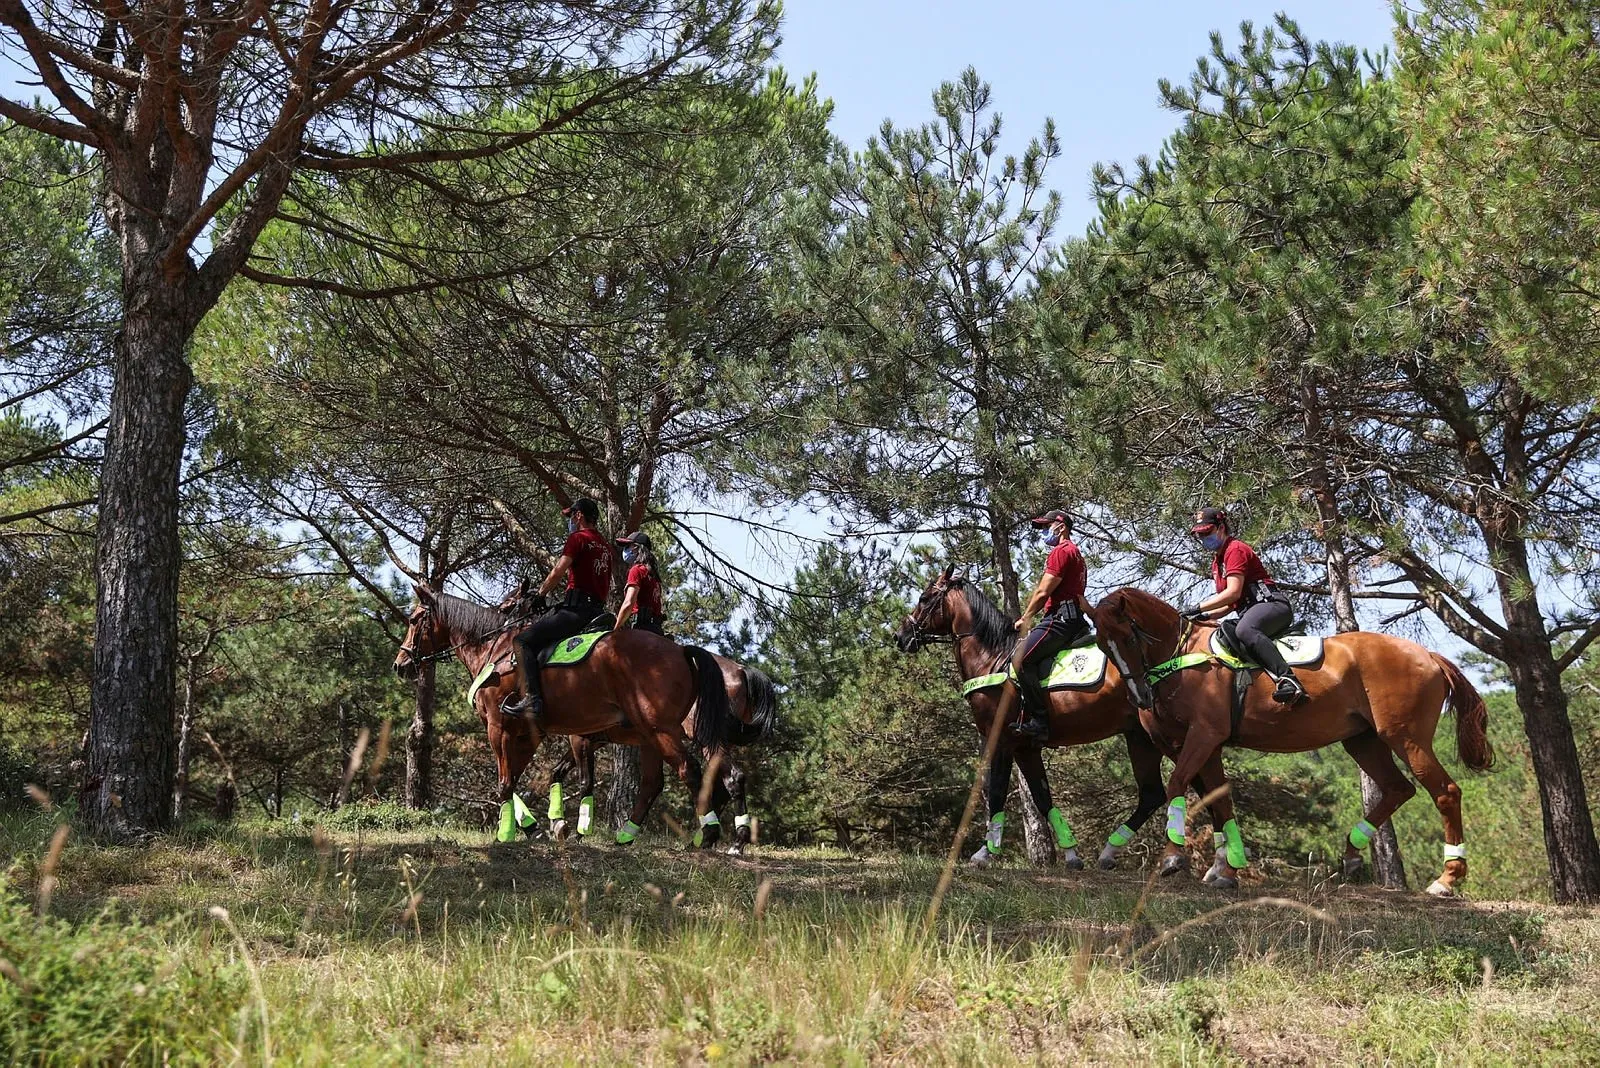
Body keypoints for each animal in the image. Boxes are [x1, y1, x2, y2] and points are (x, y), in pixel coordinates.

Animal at [393, 578, 732, 844]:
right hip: (649, 735)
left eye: (413, 620)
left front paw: (508, 833)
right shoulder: (529, 734)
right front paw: (537, 826)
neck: (495, 649)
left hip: (659, 729)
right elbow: (516, 780)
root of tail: (680, 650)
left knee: (690, 770)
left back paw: (707, 833)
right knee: (655, 783)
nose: (400, 664)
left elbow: (506, 782)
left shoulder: (499, 727)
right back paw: (631, 835)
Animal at [896, 562, 1216, 869]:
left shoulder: (1001, 741)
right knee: (1156, 794)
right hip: (1140, 738)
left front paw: (984, 853)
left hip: (1162, 738)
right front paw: (1072, 854)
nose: (901, 637)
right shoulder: (1025, 748)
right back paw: (1114, 852)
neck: (994, 659)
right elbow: (1042, 798)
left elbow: (997, 794)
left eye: (924, 599)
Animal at [1094, 588, 1491, 895]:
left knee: (1445, 792)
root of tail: (1428, 655)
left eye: (1129, 638)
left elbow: (1180, 785)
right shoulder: (1208, 745)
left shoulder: (1204, 734)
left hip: (1405, 736)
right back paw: (1352, 853)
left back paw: (1446, 879)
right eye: (1103, 646)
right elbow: (1220, 802)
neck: (1183, 654)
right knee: (1397, 788)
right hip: (1363, 740)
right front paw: (1228, 870)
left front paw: (1174, 857)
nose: (1139, 697)